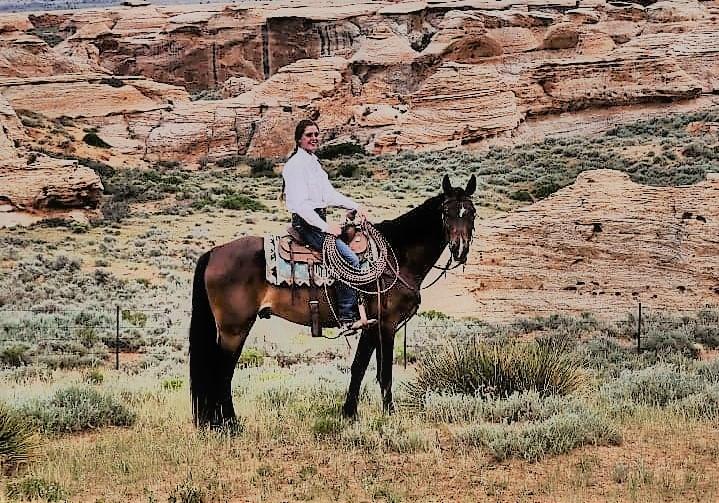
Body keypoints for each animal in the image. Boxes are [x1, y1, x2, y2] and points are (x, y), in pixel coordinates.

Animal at [189, 174, 477, 427]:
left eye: (472, 212)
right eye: (447, 212)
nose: (460, 249)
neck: (396, 257)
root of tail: (214, 253)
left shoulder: (370, 325)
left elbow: (358, 367)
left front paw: (349, 413)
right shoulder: (386, 324)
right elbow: (384, 373)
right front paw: (390, 415)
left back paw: (216, 422)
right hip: (234, 328)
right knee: (222, 372)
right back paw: (229, 424)